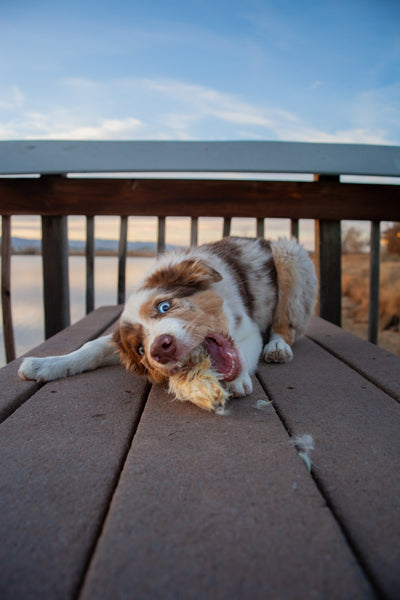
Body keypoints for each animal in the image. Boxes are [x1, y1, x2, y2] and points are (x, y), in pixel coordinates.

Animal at [18, 237, 318, 410]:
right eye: (140, 349)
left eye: (164, 306)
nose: (161, 348)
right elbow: (91, 347)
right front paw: (47, 364)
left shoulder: (249, 328)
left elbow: (242, 351)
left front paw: (238, 379)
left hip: (289, 254)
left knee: (286, 326)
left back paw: (278, 347)